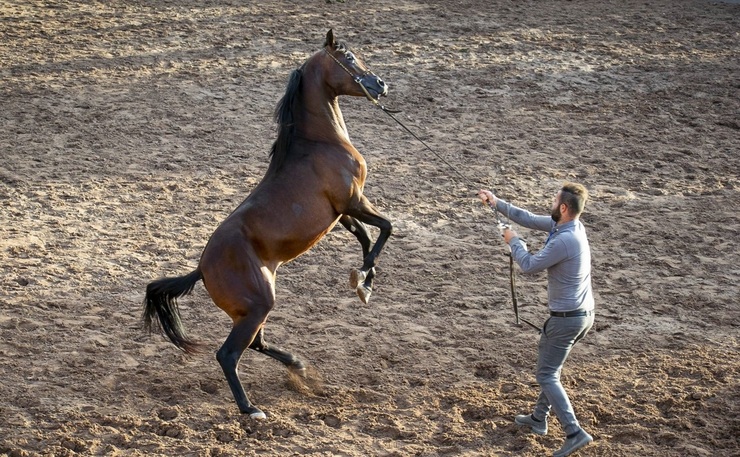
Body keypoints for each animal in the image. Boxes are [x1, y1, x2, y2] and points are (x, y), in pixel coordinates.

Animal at [145, 30, 396, 418]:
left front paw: (364, 283)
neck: (320, 142)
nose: (380, 84)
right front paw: (364, 278)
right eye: (350, 58)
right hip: (258, 307)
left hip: (253, 310)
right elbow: (386, 228)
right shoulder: (353, 201)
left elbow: (367, 237)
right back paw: (251, 408)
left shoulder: (342, 212)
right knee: (228, 354)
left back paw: (299, 367)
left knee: (256, 345)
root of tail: (202, 268)